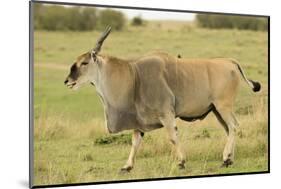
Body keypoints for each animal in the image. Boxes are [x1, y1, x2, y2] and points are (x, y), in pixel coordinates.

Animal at [64, 27, 260, 173]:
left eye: (84, 63)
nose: (68, 81)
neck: (134, 77)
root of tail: (229, 61)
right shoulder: (138, 121)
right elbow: (135, 142)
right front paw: (127, 166)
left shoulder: (166, 114)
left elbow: (172, 137)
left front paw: (181, 162)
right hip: (216, 110)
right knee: (229, 129)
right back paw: (230, 159)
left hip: (223, 106)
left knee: (234, 126)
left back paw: (226, 159)